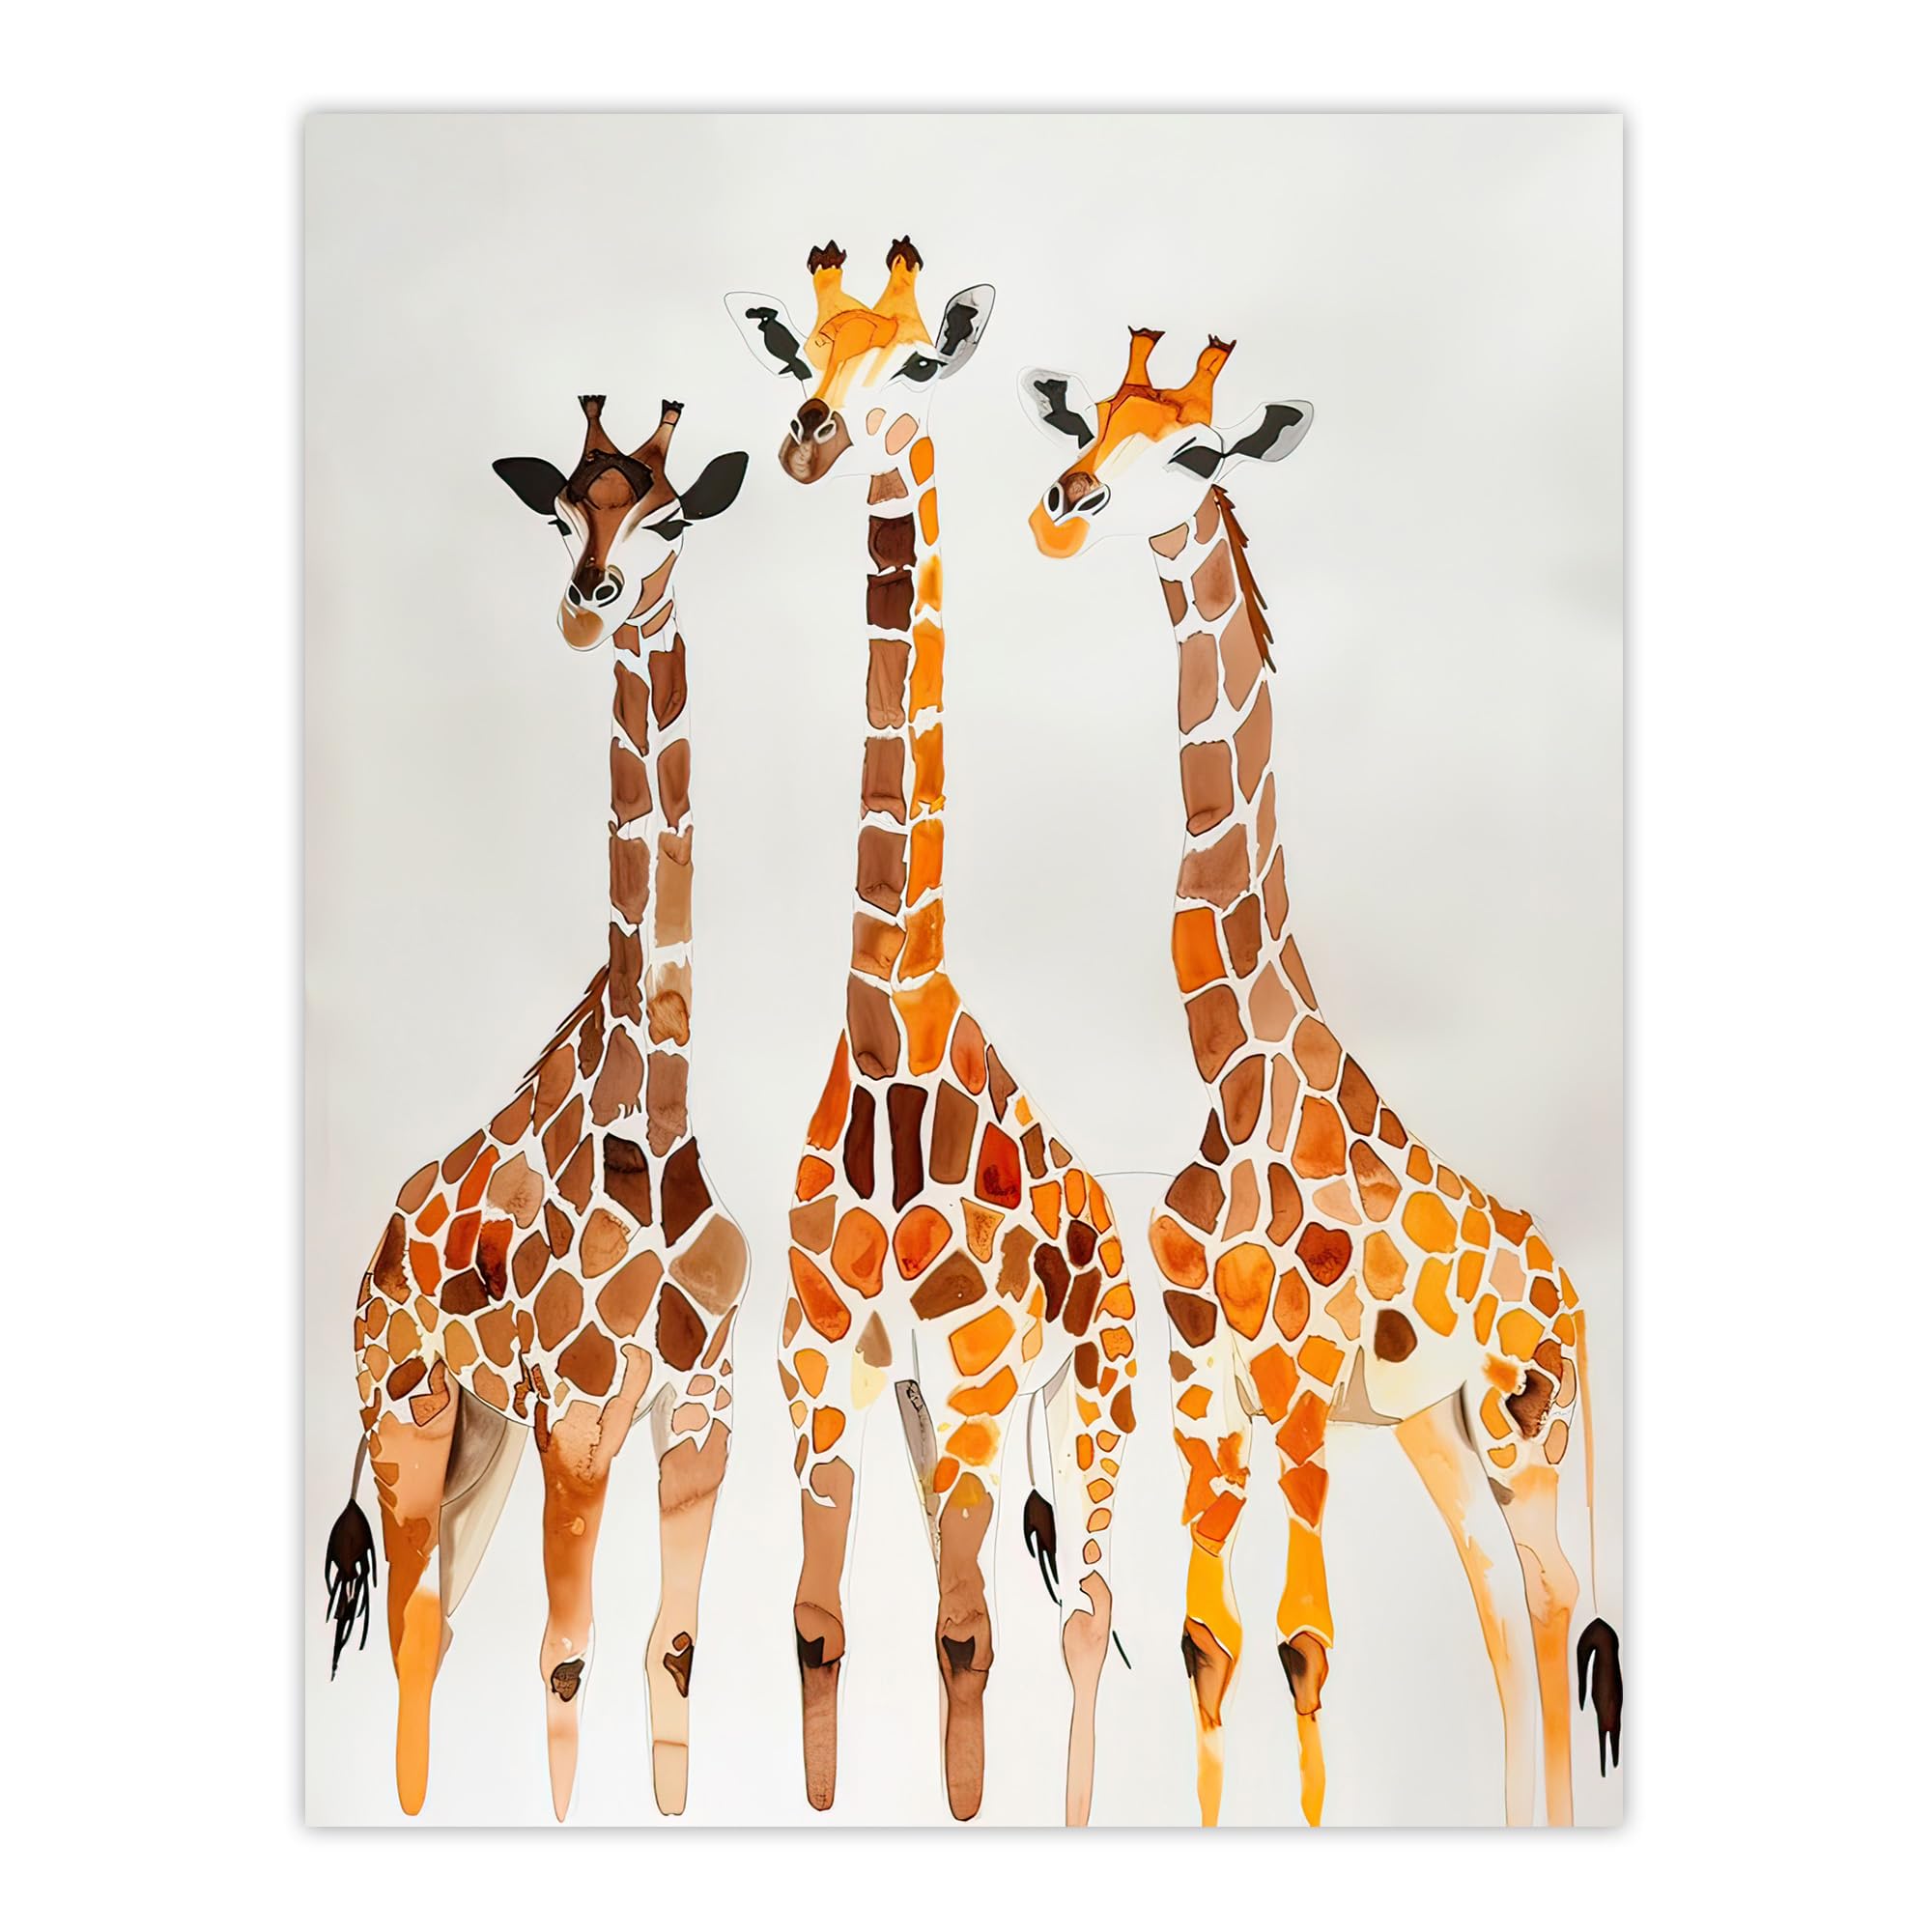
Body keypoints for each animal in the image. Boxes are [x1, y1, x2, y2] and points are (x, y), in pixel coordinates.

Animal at [320, 395, 752, 1822]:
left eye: (670, 518)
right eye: (562, 514)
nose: (588, 601)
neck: (656, 1126)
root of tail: (372, 1255)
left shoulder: (699, 1409)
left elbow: (671, 1654)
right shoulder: (580, 1412)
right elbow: (565, 1659)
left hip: (481, 1439)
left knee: (432, 1629)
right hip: (409, 1418)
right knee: (412, 1628)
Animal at [725, 239, 1139, 1826]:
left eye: (912, 361)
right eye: (800, 354)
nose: (809, 439)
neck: (889, 1032)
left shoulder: (967, 1363)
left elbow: (967, 1630)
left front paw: (966, 1812)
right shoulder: (825, 1355)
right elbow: (819, 1617)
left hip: (1090, 1396)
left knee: (1084, 1605)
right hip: (939, 1404)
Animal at [1020, 330, 1623, 1827]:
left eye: (1193, 448)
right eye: (1086, 421)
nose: (1064, 505)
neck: (1235, 1076)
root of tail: (1574, 1291)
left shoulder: (1293, 1393)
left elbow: (1303, 1645)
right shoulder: (1205, 1391)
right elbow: (1205, 1640)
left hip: (1523, 1421)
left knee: (1547, 1591)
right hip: (1434, 1429)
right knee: (1498, 1596)